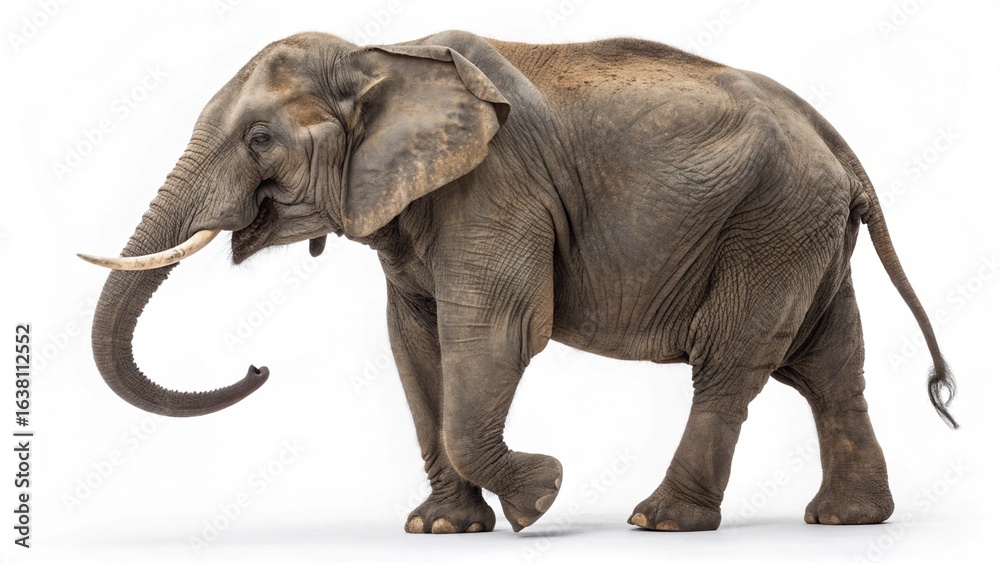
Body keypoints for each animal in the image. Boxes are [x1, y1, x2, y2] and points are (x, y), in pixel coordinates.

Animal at [79, 30, 957, 534]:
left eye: (260, 137)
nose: (259, 365)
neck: (384, 51)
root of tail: (836, 142)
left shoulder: (497, 189)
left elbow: (491, 333)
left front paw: (542, 495)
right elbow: (414, 343)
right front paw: (440, 528)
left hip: (770, 224)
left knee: (732, 363)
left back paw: (662, 520)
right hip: (802, 230)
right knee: (829, 367)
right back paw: (847, 519)